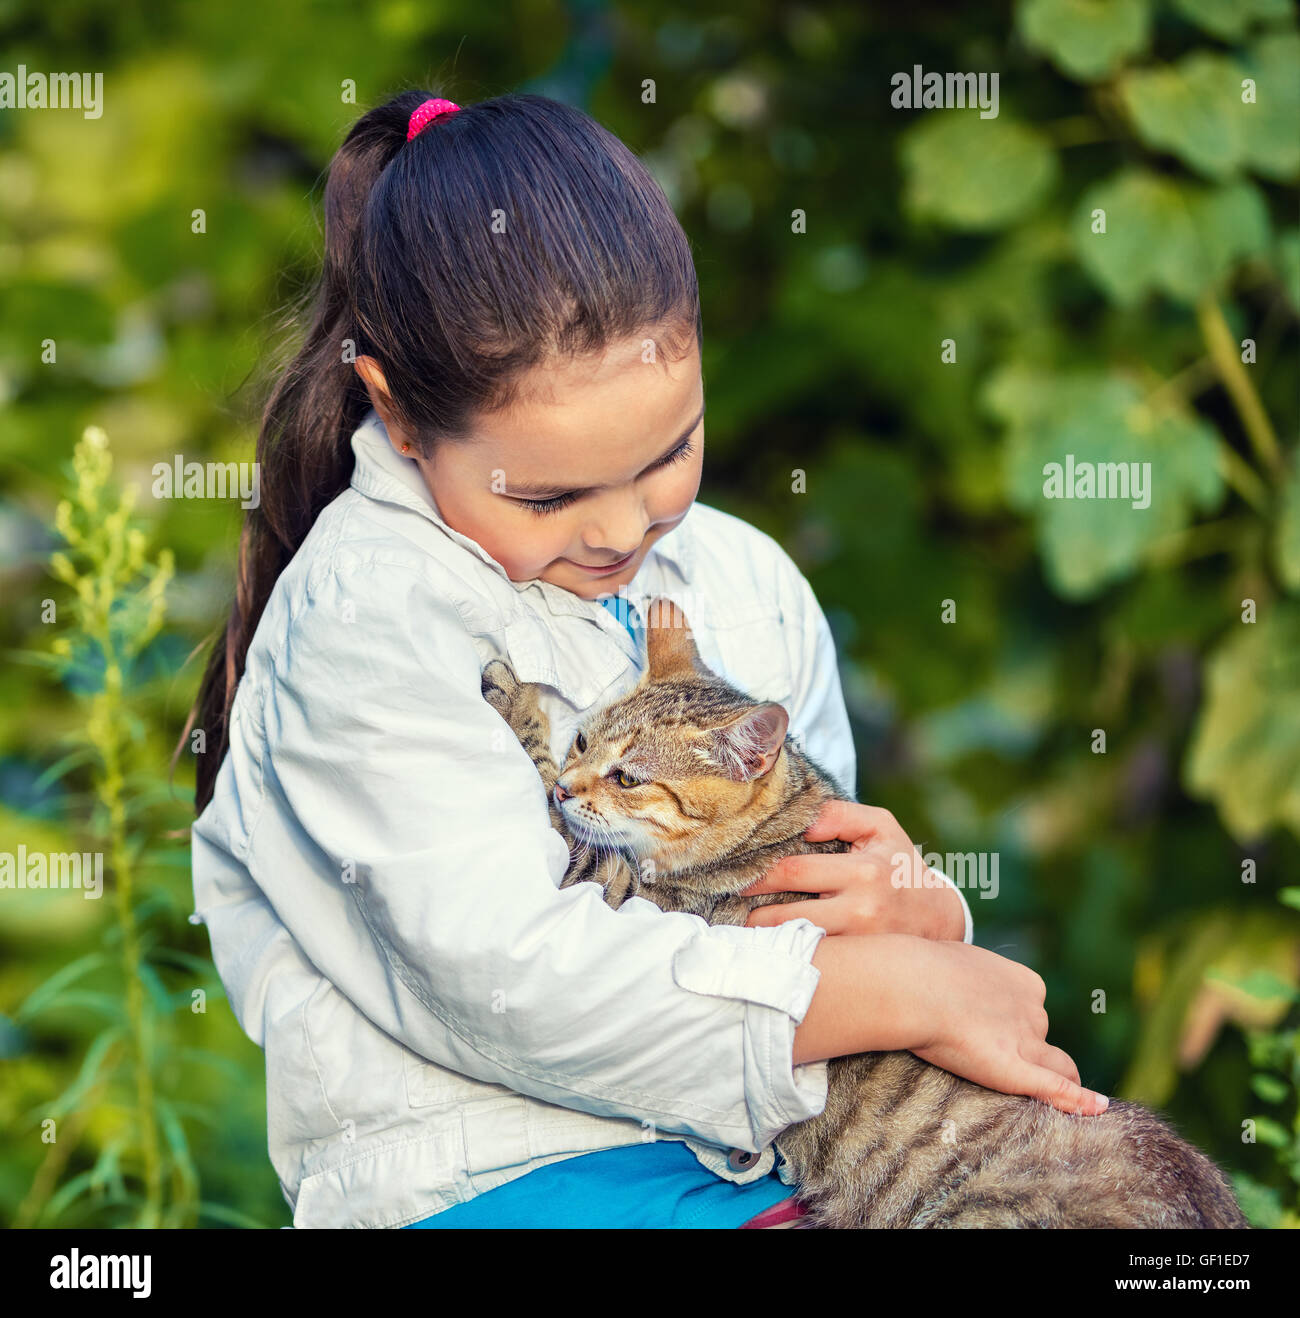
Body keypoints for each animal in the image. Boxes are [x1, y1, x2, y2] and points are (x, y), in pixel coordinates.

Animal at [479, 598, 1244, 1223]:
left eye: (628, 777)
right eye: (584, 742)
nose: (572, 788)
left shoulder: (612, 886)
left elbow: (557, 814)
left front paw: (509, 697)